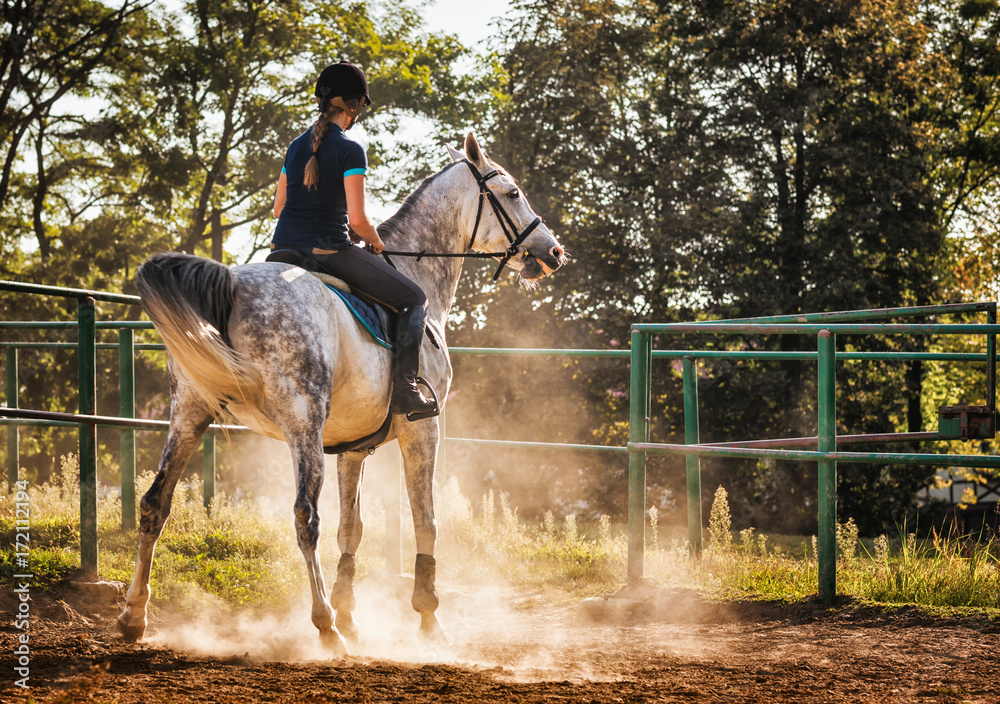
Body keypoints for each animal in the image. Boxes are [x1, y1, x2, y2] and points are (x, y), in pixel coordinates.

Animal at [117, 133, 568, 656]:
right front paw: (427, 616)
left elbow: (351, 527)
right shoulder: (424, 430)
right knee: (304, 517)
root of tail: (231, 283)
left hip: (189, 414)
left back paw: (134, 615)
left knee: (155, 503)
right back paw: (324, 626)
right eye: (513, 193)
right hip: (302, 421)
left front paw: (352, 612)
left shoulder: (353, 447)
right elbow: (425, 519)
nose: (554, 251)